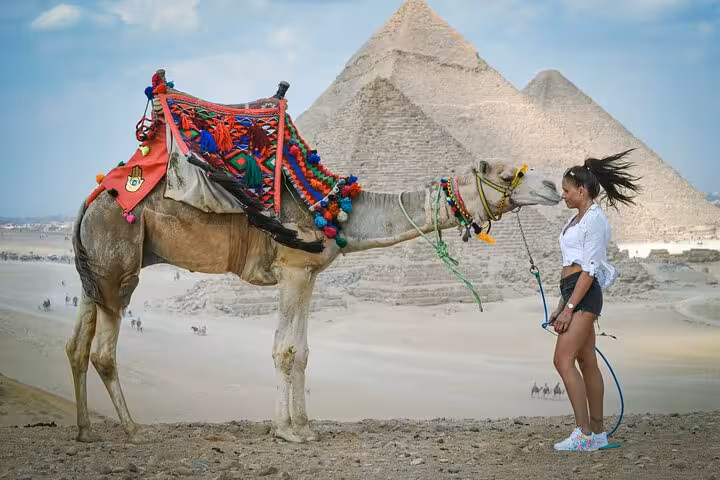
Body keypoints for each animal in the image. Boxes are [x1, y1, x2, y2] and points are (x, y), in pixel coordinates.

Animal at [67, 159, 561, 444]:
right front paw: (287, 431)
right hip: (120, 262)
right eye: (505, 174)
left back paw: (86, 430)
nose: (555, 186)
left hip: (96, 271)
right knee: (103, 350)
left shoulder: (308, 277)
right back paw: (131, 430)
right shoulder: (293, 269)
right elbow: (285, 350)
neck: (339, 213)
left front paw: (304, 424)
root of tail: (89, 201)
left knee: (76, 347)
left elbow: (302, 351)